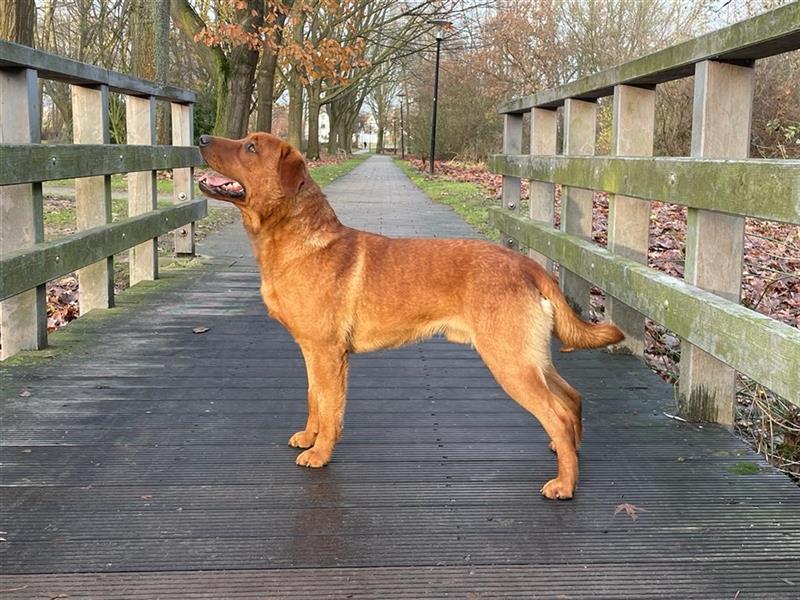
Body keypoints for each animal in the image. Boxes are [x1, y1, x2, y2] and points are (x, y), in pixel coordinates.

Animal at [197, 134, 620, 500]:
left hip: (510, 361)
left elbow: (331, 408)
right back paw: (568, 454)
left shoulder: (328, 353)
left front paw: (320, 453)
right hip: (531, 357)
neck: (293, 240)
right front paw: (309, 436)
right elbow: (314, 398)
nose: (201, 138)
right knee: (571, 398)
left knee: (557, 413)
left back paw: (564, 484)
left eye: (250, 147)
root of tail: (526, 265)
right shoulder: (312, 351)